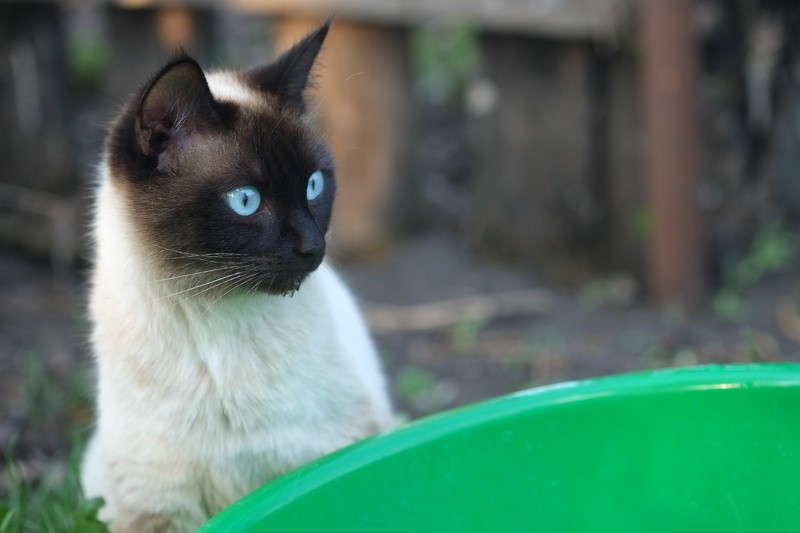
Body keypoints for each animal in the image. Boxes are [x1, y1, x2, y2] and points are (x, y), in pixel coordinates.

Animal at [81, 19, 394, 528]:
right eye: (245, 200)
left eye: (314, 185)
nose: (314, 247)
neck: (214, 324)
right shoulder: (157, 507)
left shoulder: (322, 456)